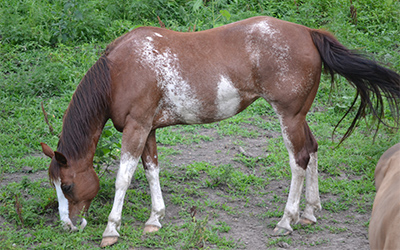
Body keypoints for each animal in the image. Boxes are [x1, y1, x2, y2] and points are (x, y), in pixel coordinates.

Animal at [39, 16, 400, 248]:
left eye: (67, 186)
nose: (68, 225)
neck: (119, 71)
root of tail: (307, 32)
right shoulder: (148, 128)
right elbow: (151, 170)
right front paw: (155, 219)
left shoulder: (136, 127)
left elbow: (123, 178)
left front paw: (111, 229)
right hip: (299, 116)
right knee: (312, 150)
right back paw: (310, 213)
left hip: (289, 116)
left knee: (298, 159)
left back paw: (287, 220)